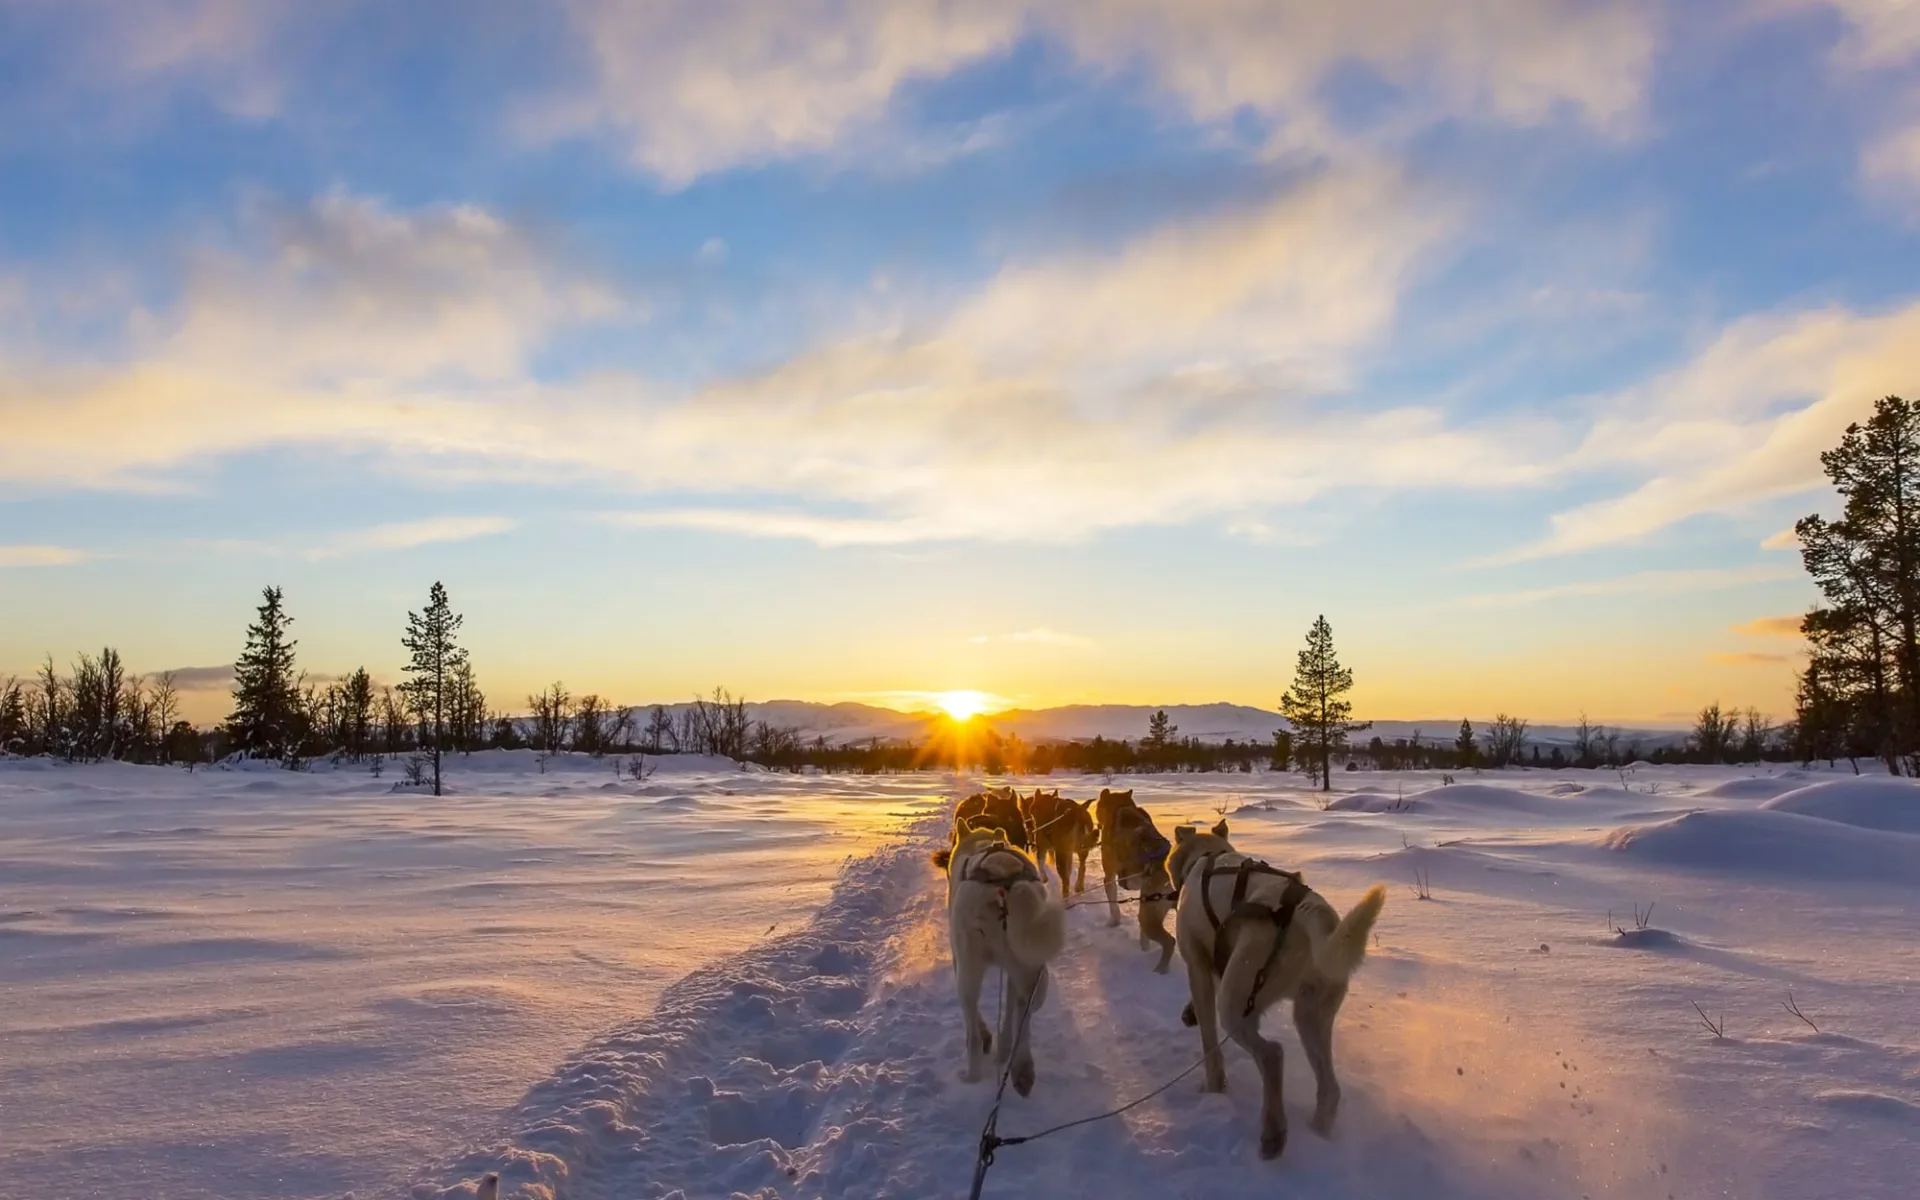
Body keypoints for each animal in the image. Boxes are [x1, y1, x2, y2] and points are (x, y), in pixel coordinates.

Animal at [936, 817, 1075, 1090]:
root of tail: (1006, 885)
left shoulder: (960, 960)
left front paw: (988, 1040)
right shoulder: (1013, 973)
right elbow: (1011, 1011)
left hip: (970, 969)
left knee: (973, 1030)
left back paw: (973, 1074)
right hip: (1031, 968)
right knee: (1023, 1013)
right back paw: (1021, 1067)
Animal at [1167, 817, 1382, 1159]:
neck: (1208, 857)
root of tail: (1308, 913)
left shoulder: (1198, 967)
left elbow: (1210, 1045)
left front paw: (1213, 1088)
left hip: (1236, 1005)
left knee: (1272, 1054)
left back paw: (1273, 1131)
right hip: (1311, 1016)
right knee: (1329, 1088)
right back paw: (1317, 1134)